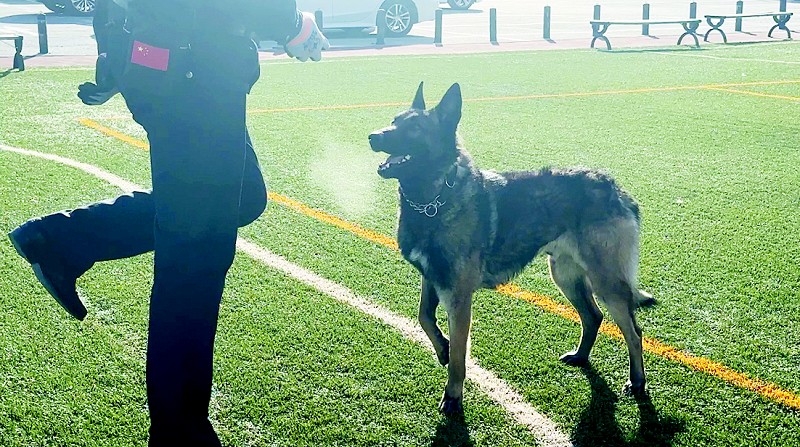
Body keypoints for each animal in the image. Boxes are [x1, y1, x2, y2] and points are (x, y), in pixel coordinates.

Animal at [368, 82, 653, 414]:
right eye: (394, 121)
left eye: (414, 128)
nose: (373, 136)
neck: (434, 199)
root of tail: (615, 187)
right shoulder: (432, 279)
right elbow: (424, 316)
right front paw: (442, 349)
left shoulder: (458, 297)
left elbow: (459, 358)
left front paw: (452, 396)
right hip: (565, 277)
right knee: (593, 317)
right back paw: (581, 357)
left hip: (605, 283)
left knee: (634, 333)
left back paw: (637, 382)